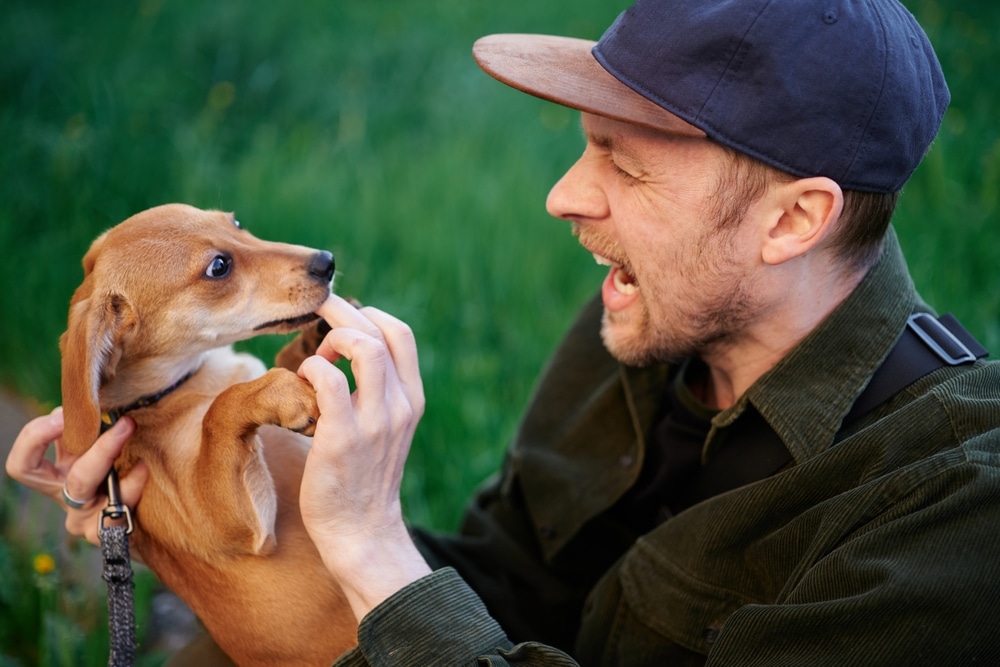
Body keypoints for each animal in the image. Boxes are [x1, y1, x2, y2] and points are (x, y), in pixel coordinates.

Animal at [58, 205, 356, 667]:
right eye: (218, 267)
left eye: (235, 223)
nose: (326, 262)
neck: (176, 388)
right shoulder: (239, 529)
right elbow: (222, 410)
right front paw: (281, 392)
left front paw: (314, 336)